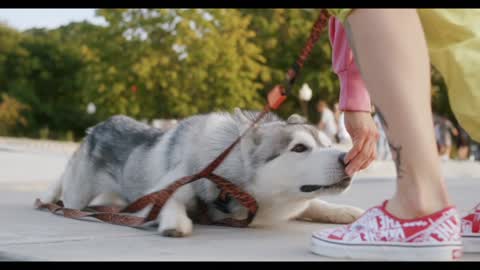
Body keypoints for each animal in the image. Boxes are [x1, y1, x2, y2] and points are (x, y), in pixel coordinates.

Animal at [33, 8, 330, 228]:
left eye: (328, 145)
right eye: (300, 148)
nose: (340, 158)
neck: (222, 165)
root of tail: (96, 127)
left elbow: (320, 205)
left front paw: (338, 212)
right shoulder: (168, 188)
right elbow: (167, 204)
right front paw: (174, 223)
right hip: (77, 195)